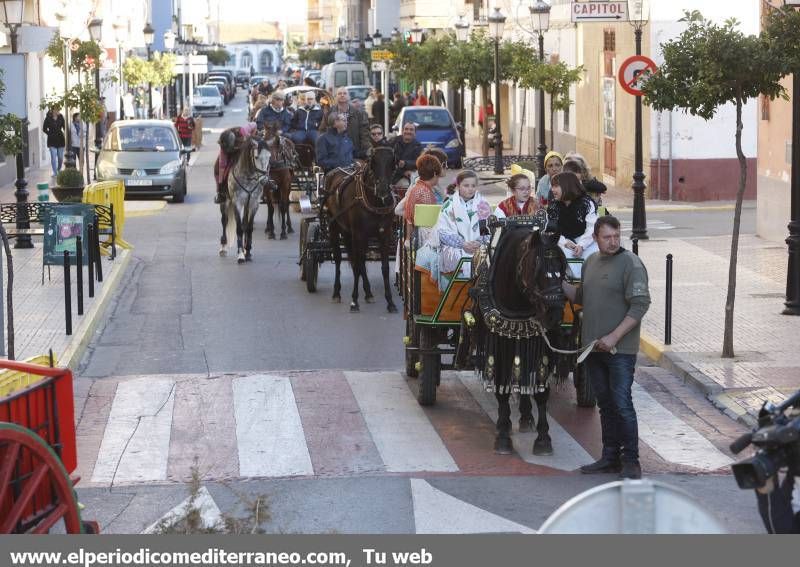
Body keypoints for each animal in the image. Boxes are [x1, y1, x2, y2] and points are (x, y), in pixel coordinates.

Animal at [225, 135, 272, 264]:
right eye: (256, 157)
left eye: (269, 157)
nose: (264, 180)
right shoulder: (237, 203)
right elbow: (239, 228)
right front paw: (241, 254)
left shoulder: (253, 203)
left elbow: (249, 228)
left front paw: (248, 252)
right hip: (226, 202)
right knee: (224, 221)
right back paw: (223, 247)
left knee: (245, 223)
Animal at [324, 145, 398, 316]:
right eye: (373, 161)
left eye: (392, 161)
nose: (383, 189)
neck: (374, 201)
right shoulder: (359, 234)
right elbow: (356, 265)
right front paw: (354, 301)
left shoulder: (384, 234)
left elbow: (384, 268)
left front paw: (390, 302)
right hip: (334, 226)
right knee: (339, 258)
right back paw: (336, 293)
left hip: (349, 232)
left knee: (360, 259)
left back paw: (369, 293)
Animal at [468, 217, 576, 458]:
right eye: (536, 269)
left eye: (562, 268)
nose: (555, 314)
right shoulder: (499, 343)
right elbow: (502, 389)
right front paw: (502, 436)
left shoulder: (541, 344)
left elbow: (541, 390)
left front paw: (544, 439)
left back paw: (526, 417)